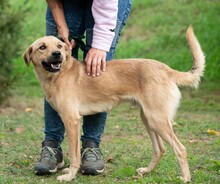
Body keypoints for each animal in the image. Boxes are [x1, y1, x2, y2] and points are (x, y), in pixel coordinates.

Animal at [21, 26, 205, 182]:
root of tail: (167, 70)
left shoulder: (71, 121)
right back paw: (146, 171)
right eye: (42, 47)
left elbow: (74, 154)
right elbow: (75, 152)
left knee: (180, 149)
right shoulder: (72, 121)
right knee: (161, 149)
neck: (58, 75)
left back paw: (185, 178)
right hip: (148, 119)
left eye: (59, 45)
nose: (57, 54)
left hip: (157, 120)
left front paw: (70, 176)